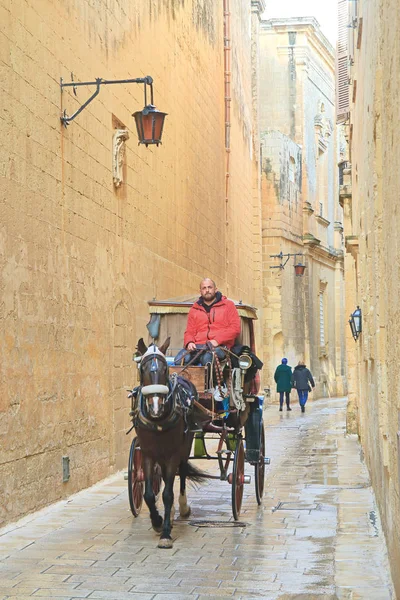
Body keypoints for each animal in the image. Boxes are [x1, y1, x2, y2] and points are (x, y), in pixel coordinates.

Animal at [136, 338, 208, 548]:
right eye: (142, 369)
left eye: (165, 370)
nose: (156, 408)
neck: (158, 421)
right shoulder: (148, 453)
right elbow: (149, 494)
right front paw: (157, 522)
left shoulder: (174, 454)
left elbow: (167, 493)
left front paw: (166, 533)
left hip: (184, 448)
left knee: (182, 473)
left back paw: (182, 507)